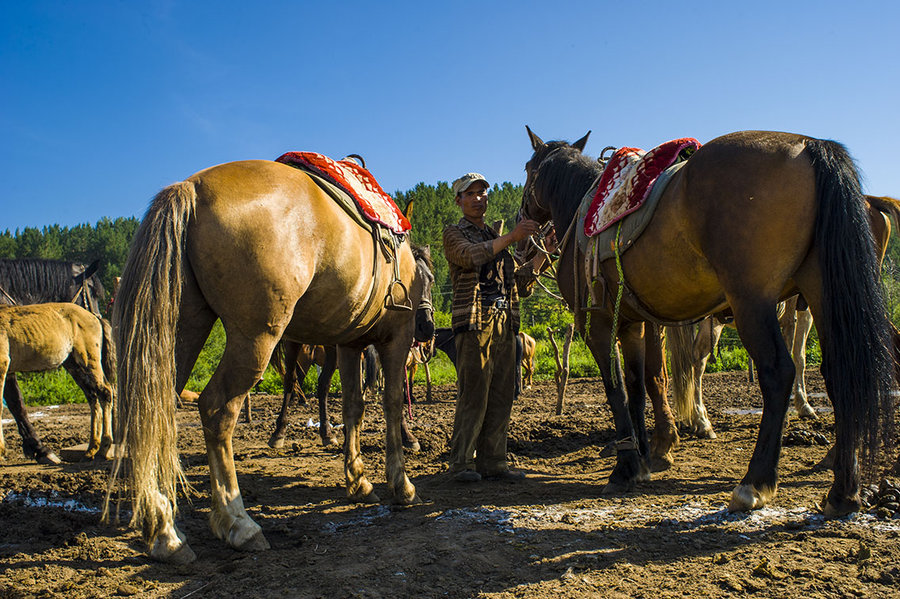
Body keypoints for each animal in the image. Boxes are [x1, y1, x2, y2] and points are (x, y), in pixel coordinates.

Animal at [0, 258, 107, 464]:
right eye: (91, 290)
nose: (99, 318)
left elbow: (16, 404)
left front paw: (40, 450)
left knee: (102, 393)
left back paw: (101, 447)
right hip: (75, 364)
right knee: (94, 395)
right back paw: (93, 448)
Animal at [110, 158, 434, 564]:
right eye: (428, 277)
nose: (427, 326)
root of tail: (191, 189)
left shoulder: (349, 345)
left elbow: (353, 408)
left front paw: (358, 480)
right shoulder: (395, 339)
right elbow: (391, 405)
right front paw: (401, 484)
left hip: (181, 329)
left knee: (153, 410)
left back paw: (164, 531)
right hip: (255, 340)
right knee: (215, 410)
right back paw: (238, 522)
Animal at [516, 129, 896, 516]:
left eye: (529, 169)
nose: (522, 227)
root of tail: (810, 146)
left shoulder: (598, 323)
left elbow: (618, 390)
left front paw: (626, 468)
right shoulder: (632, 324)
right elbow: (637, 387)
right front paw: (641, 459)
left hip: (752, 300)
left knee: (779, 372)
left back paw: (754, 483)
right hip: (823, 292)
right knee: (842, 371)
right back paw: (843, 490)